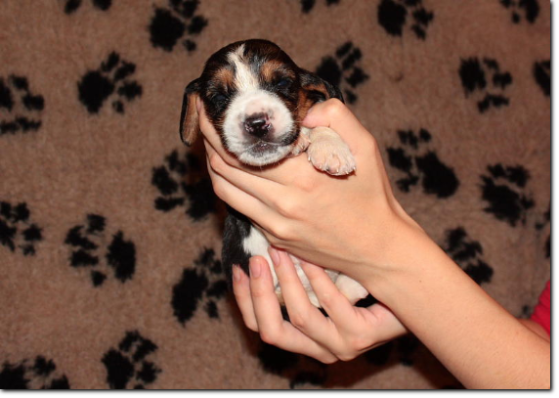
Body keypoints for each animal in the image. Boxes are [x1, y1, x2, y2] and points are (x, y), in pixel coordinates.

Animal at [182, 39, 370, 308]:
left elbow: (317, 116)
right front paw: (301, 140)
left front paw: (330, 148)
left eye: (281, 83)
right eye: (219, 96)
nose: (257, 124)